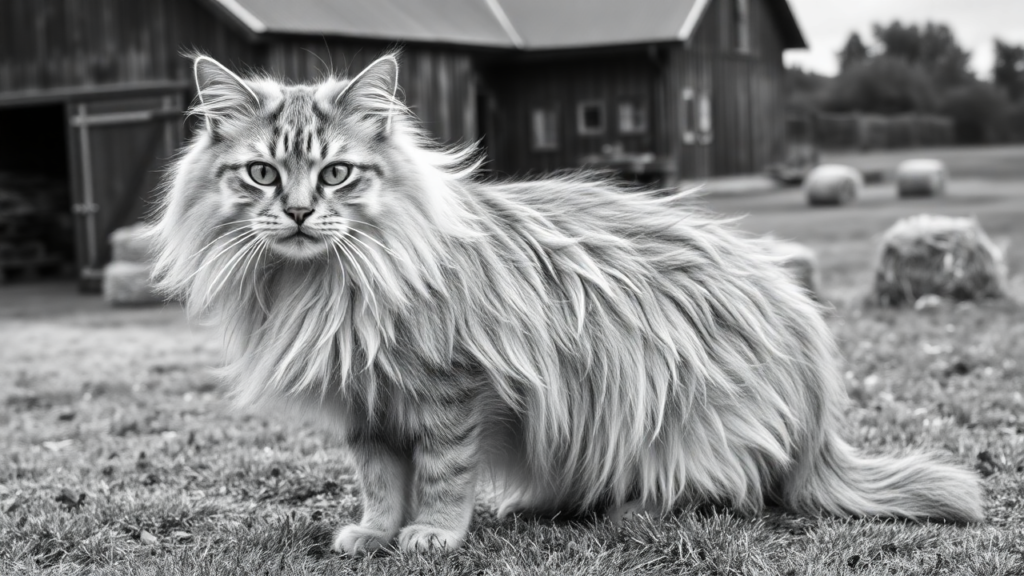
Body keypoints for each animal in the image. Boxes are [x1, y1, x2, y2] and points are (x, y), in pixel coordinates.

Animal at [149, 53, 983, 553]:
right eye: (261, 173)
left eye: (335, 175)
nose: (295, 213)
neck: (326, 286)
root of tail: (818, 417)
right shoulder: (368, 406)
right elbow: (381, 482)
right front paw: (375, 532)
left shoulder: (452, 391)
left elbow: (443, 475)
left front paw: (432, 535)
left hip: (683, 422)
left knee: (735, 495)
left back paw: (628, 508)